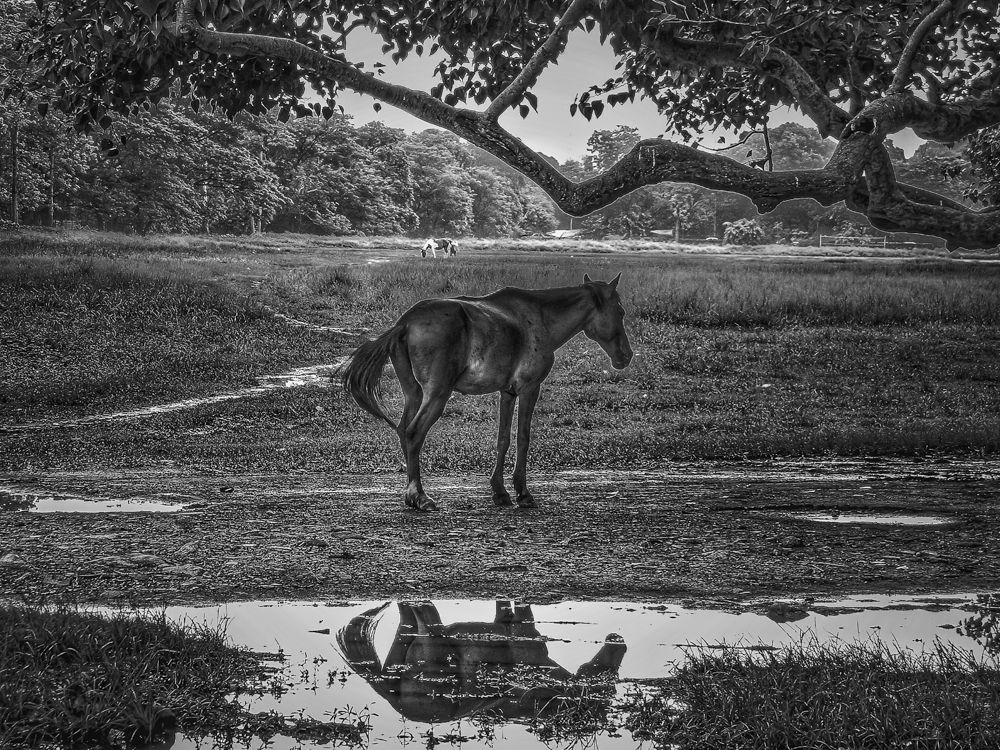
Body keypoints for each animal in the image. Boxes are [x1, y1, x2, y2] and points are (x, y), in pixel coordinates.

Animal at [336, 600, 626, 724]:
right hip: (430, 630)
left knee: (407, 609)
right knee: (422, 610)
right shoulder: (523, 631)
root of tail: (394, 699)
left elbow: (505, 606)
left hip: (409, 631)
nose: (618, 640)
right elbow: (521, 609)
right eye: (603, 688)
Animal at [341, 274, 633, 511]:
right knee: (413, 433)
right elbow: (523, 438)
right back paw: (420, 496)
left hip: (414, 394)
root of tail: (405, 323)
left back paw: (412, 494)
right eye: (620, 311)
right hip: (437, 394)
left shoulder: (508, 392)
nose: (626, 356)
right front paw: (523, 492)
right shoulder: (529, 389)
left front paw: (500, 491)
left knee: (403, 430)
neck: (540, 316)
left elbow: (503, 439)